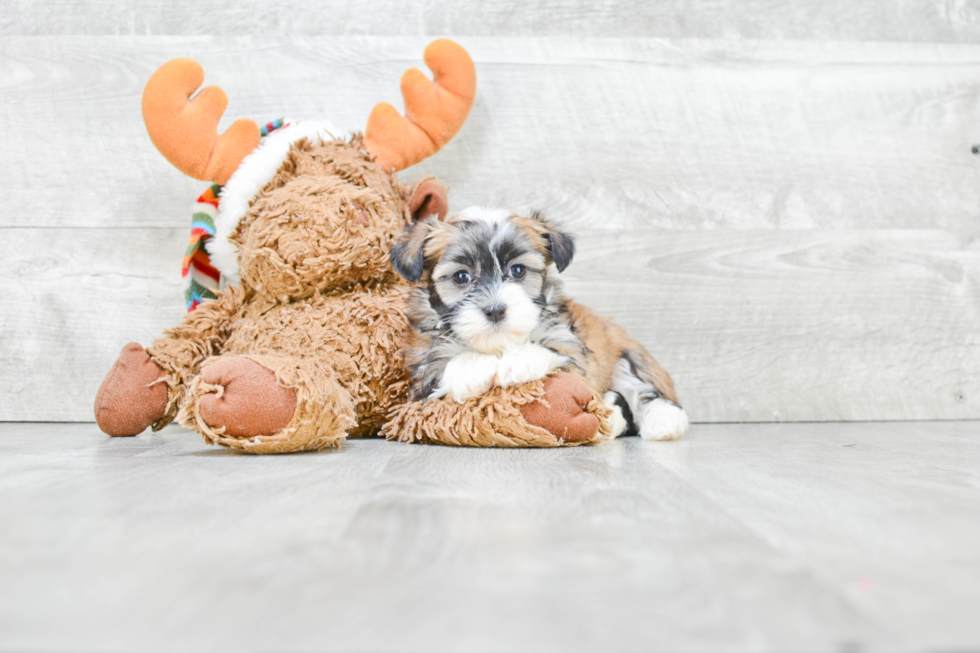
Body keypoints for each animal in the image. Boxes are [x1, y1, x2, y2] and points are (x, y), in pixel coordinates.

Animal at [390, 206, 688, 440]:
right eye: (461, 277)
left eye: (518, 271)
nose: (495, 309)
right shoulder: (420, 374)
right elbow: (445, 365)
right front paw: (474, 368)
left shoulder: (573, 352)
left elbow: (552, 350)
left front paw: (518, 360)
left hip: (624, 355)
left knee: (640, 388)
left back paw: (662, 421)